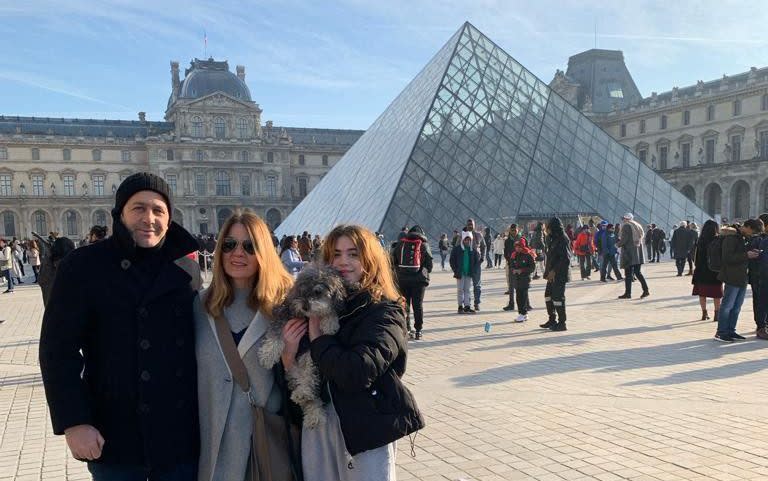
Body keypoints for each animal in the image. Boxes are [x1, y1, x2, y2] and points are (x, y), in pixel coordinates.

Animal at [258, 262, 344, 428]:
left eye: (318, 292)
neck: (307, 317)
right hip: (293, 371)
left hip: (310, 358)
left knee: (310, 383)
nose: (305, 306)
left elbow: (329, 311)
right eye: (301, 290)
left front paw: (330, 323)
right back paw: (310, 410)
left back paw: (307, 401)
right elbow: (275, 337)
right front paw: (267, 357)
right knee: (308, 396)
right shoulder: (283, 316)